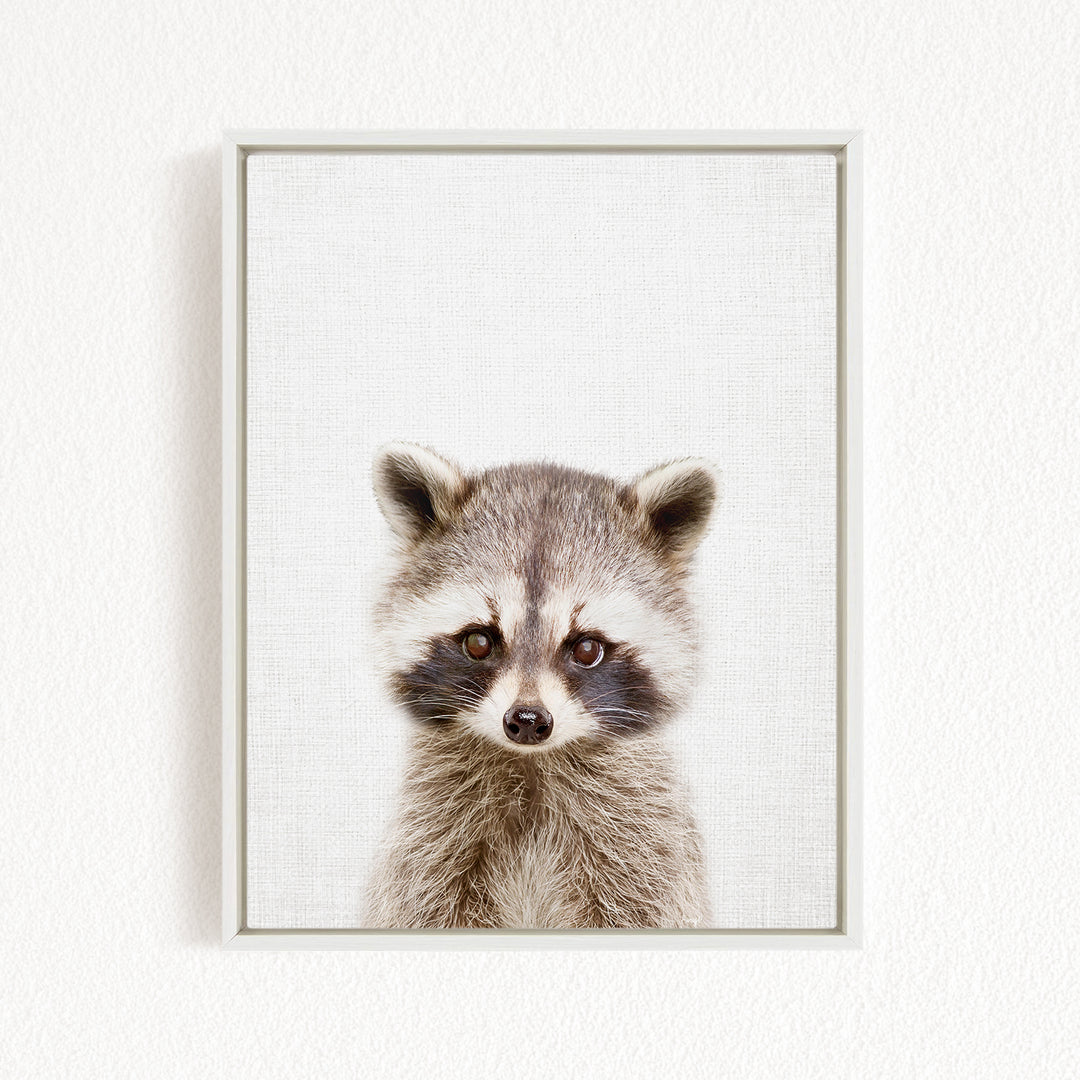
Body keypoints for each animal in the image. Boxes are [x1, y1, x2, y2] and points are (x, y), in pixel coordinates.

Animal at [363, 442, 719, 929]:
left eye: (586, 649)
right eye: (478, 642)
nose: (529, 720)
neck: (531, 766)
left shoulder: (646, 845)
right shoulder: (427, 841)